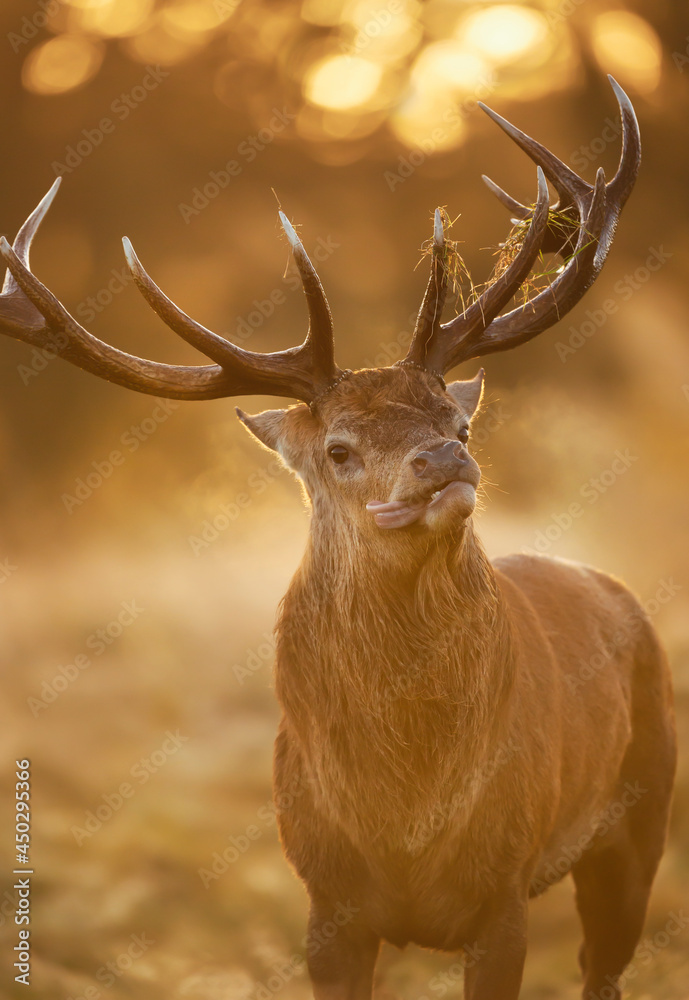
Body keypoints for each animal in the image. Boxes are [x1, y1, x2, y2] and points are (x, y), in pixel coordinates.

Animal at [0, 76, 676, 1000]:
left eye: (457, 420)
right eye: (339, 449)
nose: (444, 459)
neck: (404, 818)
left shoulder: (502, 890)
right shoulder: (326, 900)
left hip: (642, 812)